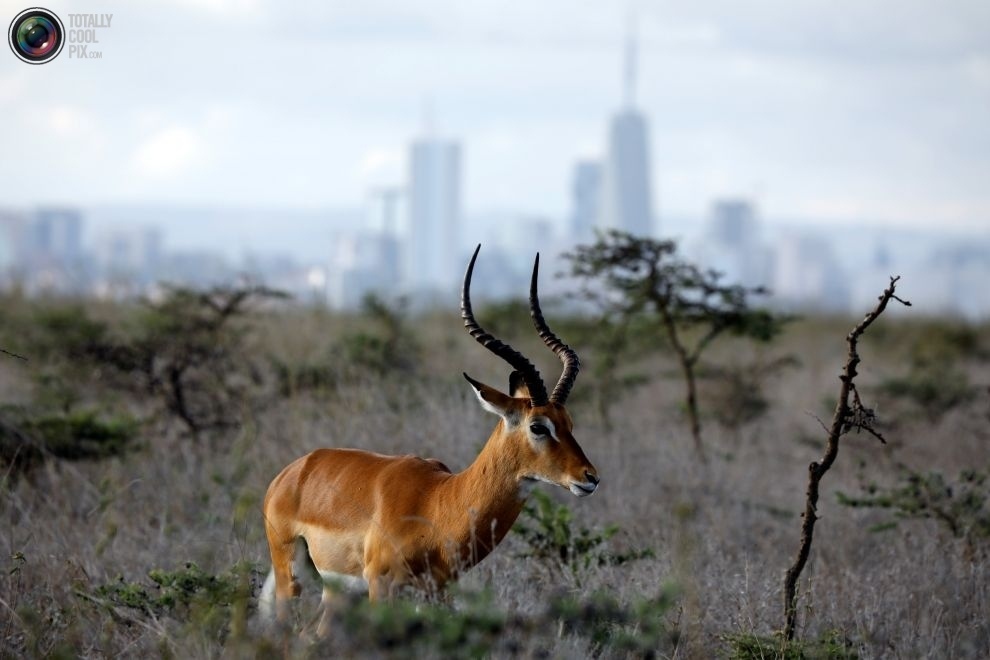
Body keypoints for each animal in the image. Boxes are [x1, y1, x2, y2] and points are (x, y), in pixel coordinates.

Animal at [260, 245, 600, 632]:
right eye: (538, 426)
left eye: (569, 422)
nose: (589, 478)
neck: (438, 503)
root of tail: (291, 472)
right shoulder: (382, 586)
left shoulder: (439, 591)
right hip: (291, 577)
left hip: (337, 592)